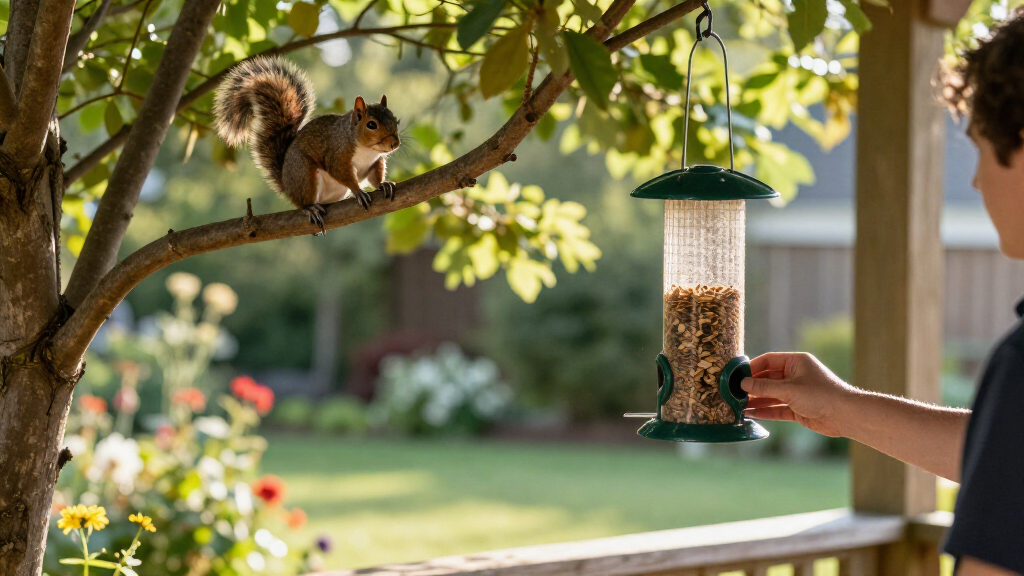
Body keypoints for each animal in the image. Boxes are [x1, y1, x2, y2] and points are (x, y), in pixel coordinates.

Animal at [212, 56, 401, 233]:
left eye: (396, 120)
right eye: (371, 125)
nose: (395, 144)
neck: (367, 150)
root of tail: (287, 185)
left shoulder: (376, 161)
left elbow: (375, 176)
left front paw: (383, 184)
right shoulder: (337, 153)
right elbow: (341, 173)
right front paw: (358, 191)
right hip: (304, 174)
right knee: (303, 201)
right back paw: (310, 208)